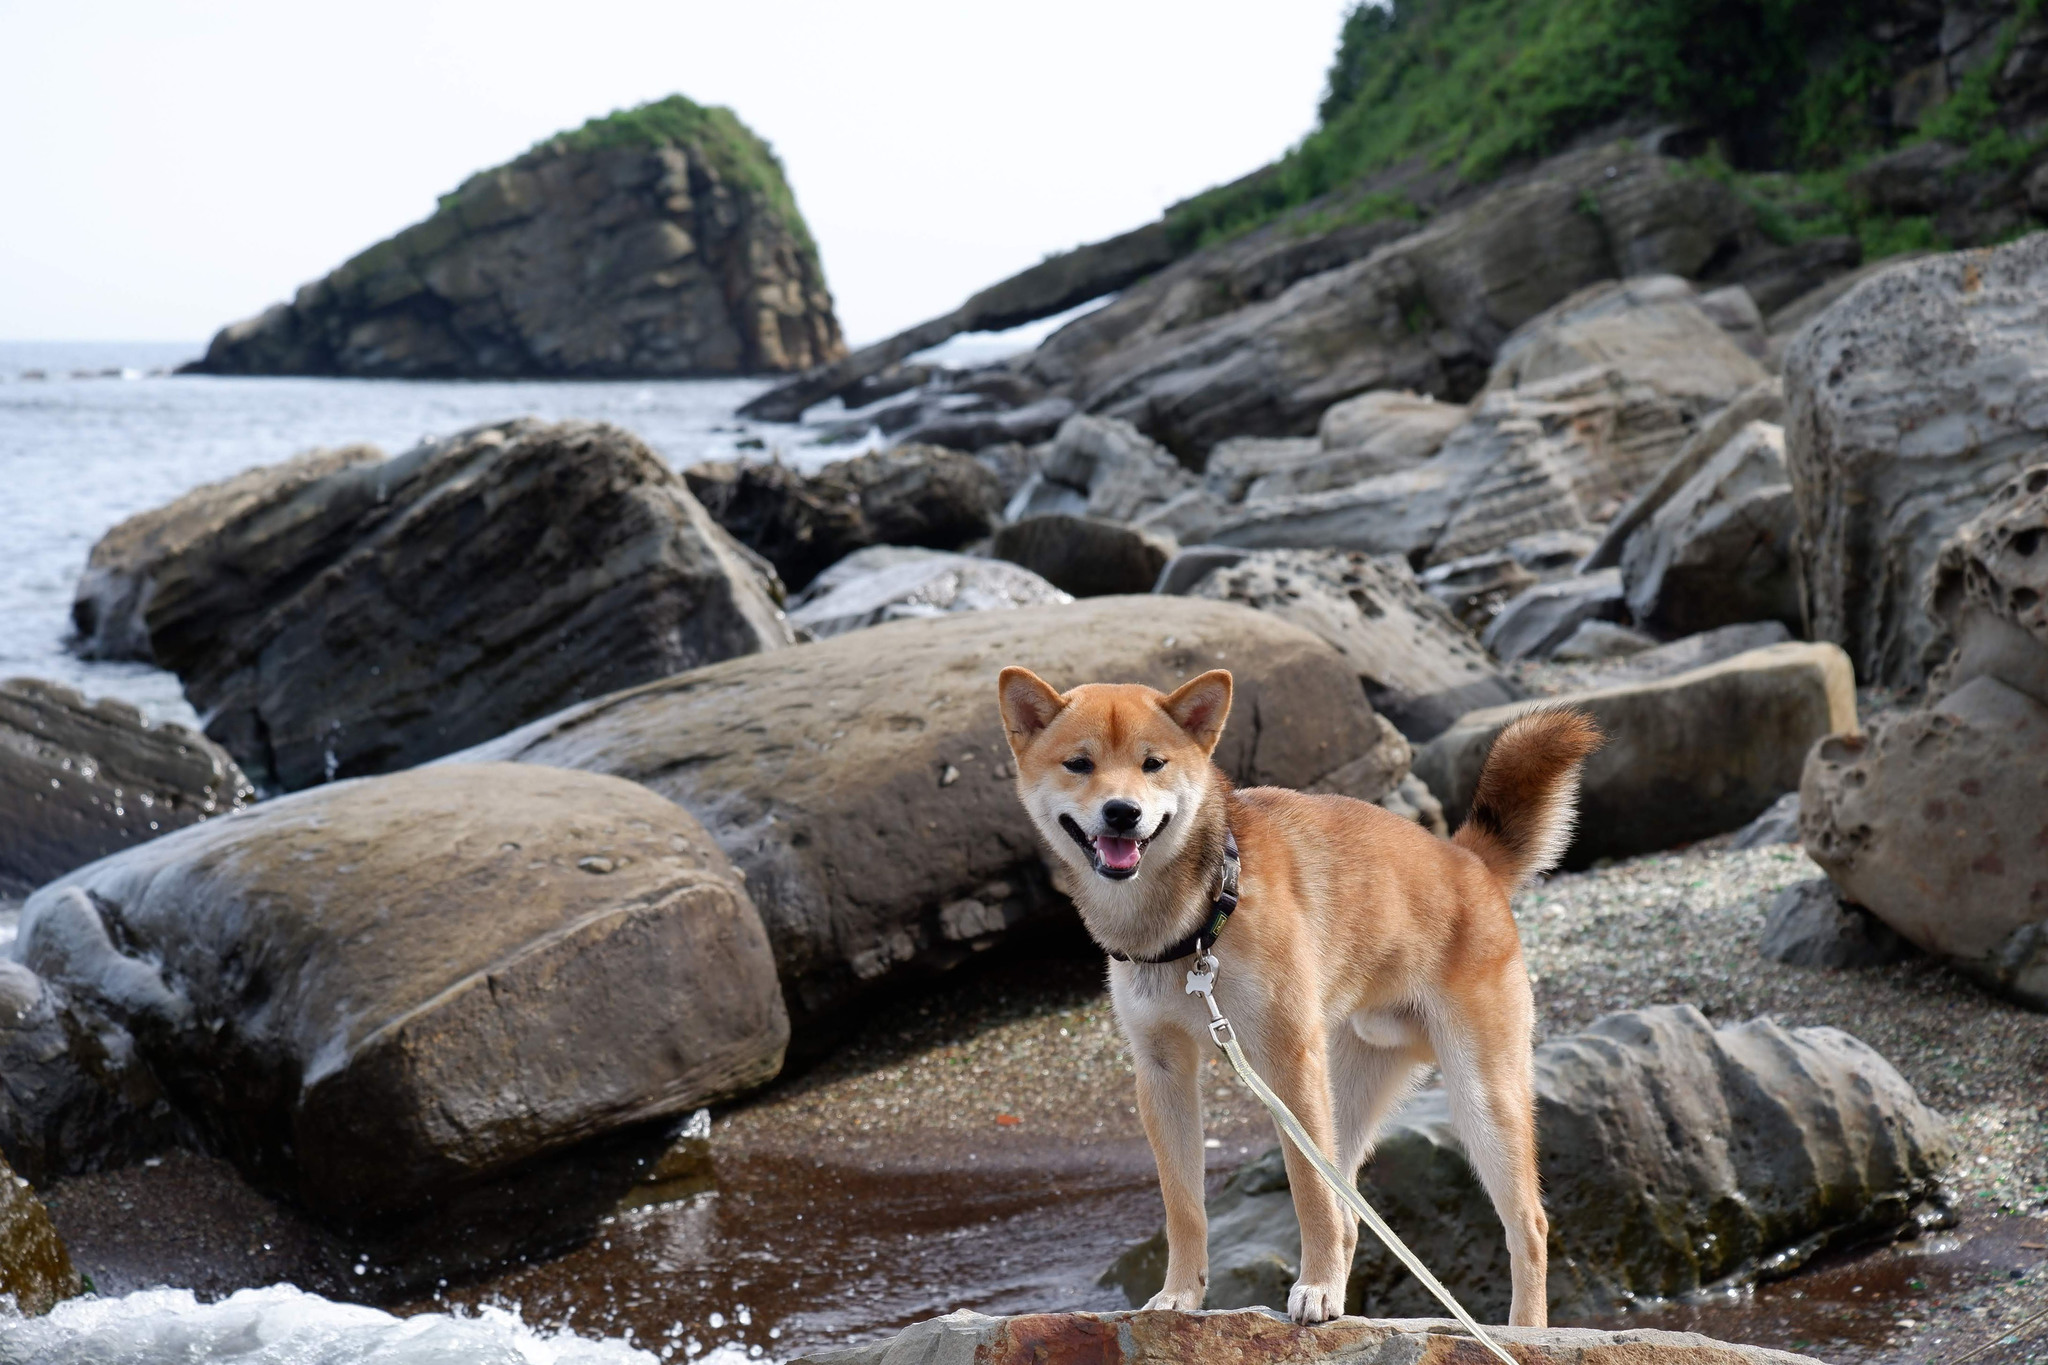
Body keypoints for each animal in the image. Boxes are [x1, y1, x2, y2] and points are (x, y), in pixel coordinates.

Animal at [999, 667, 1605, 1326]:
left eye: (1152, 763)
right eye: (1079, 764)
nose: (1121, 812)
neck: (1200, 921)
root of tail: (1469, 859)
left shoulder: (1287, 1062)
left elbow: (1309, 1195)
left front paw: (1315, 1289)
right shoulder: (1161, 1069)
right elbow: (1184, 1205)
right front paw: (1180, 1295)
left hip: (1477, 1098)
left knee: (1526, 1225)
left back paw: (1525, 1330)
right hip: (1348, 1090)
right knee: (1350, 1213)